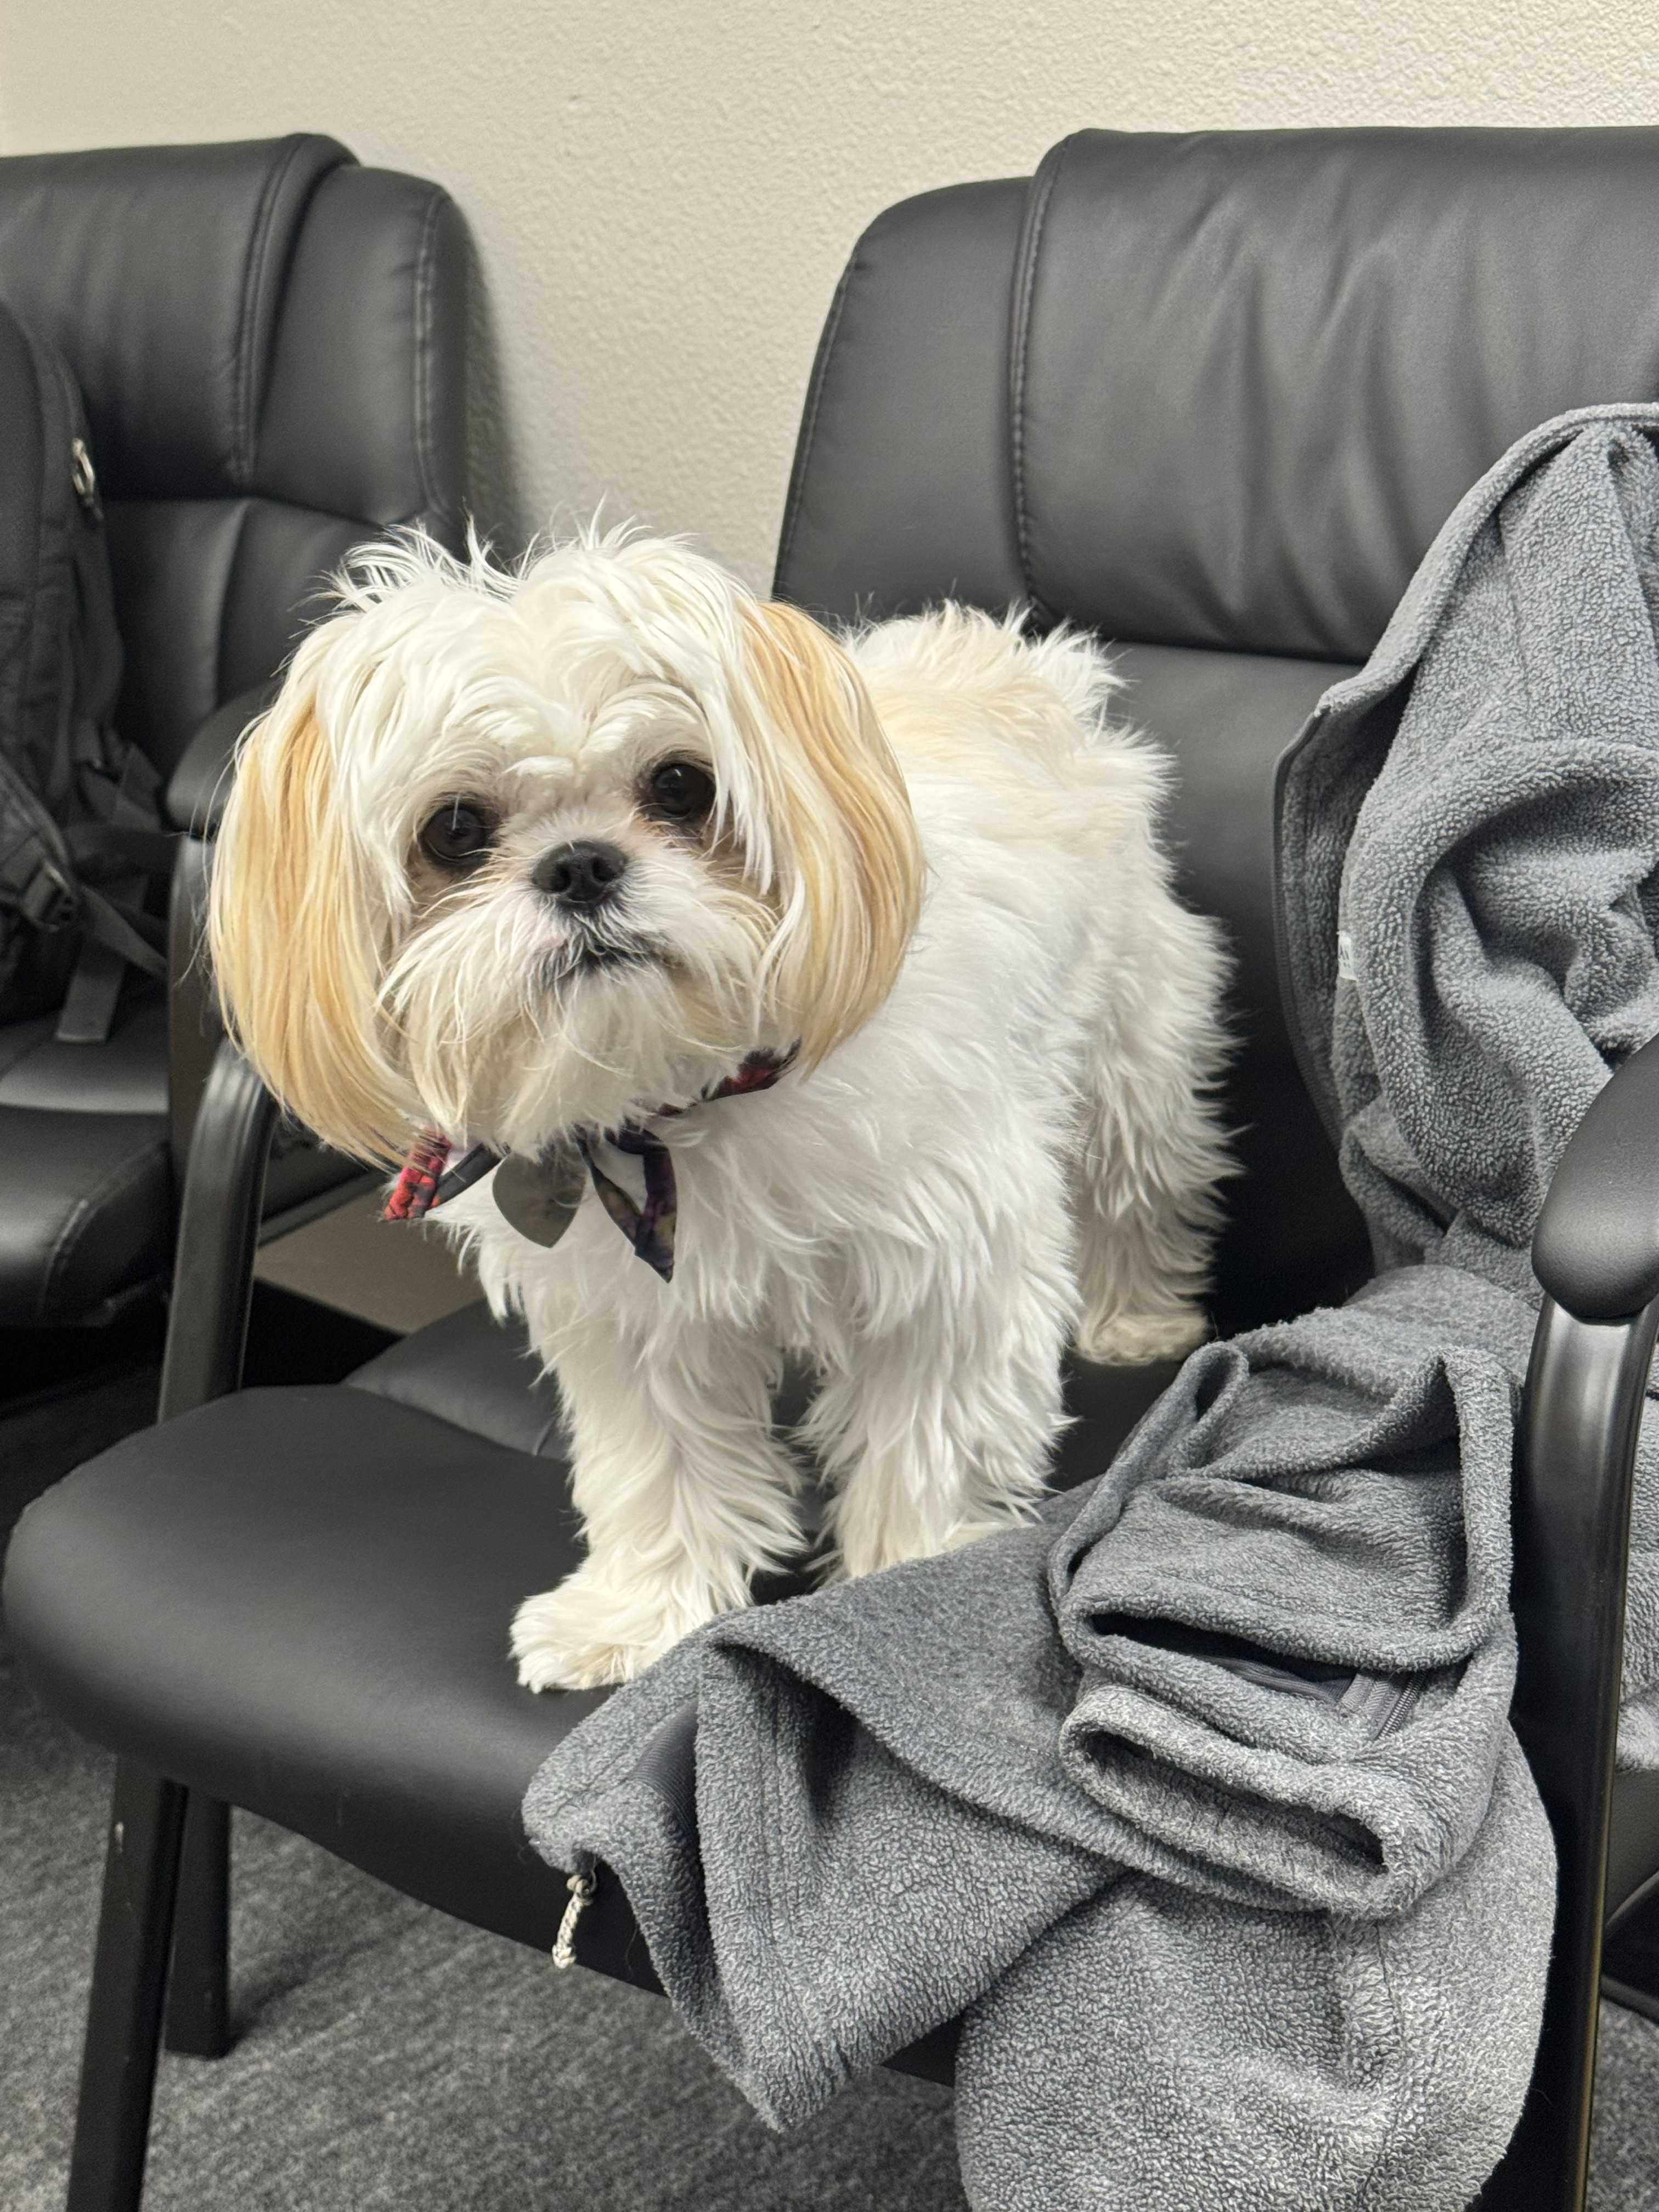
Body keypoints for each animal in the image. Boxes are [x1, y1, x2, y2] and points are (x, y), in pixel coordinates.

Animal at [209, 530, 1231, 1690]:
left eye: (681, 785)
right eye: (455, 829)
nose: (578, 865)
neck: (687, 1096)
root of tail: (1009, 663)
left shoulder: (944, 1272)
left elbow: (923, 1441)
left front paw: (896, 1590)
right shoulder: (633, 1315)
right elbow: (660, 1466)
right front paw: (634, 1612)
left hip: (1131, 1050)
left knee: (1137, 1185)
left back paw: (1137, 1315)